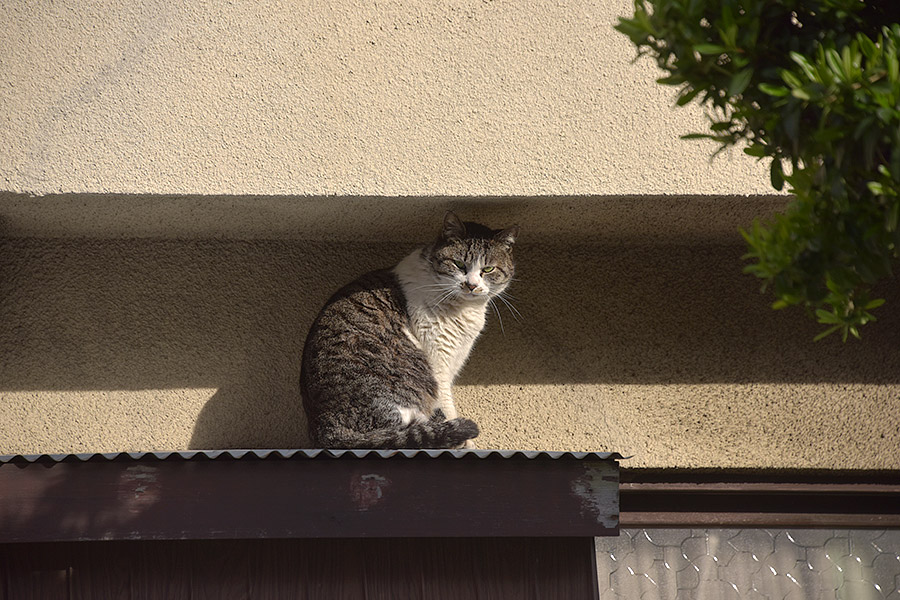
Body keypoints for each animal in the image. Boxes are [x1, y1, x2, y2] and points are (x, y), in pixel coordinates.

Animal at [298, 211, 516, 450]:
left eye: (488, 269)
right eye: (459, 264)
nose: (471, 285)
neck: (464, 308)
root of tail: (325, 429)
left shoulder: (456, 356)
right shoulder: (438, 359)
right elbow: (446, 403)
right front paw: (464, 442)